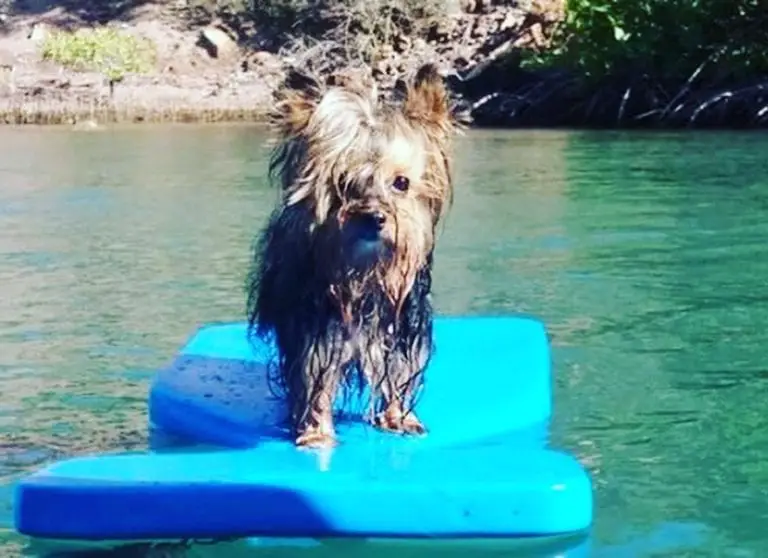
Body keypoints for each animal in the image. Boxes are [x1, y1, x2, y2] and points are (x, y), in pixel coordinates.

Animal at [246, 63, 462, 448]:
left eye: (401, 182)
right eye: (343, 182)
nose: (374, 217)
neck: (366, 275)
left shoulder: (402, 329)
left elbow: (399, 372)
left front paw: (399, 418)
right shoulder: (315, 330)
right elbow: (314, 378)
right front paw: (316, 431)